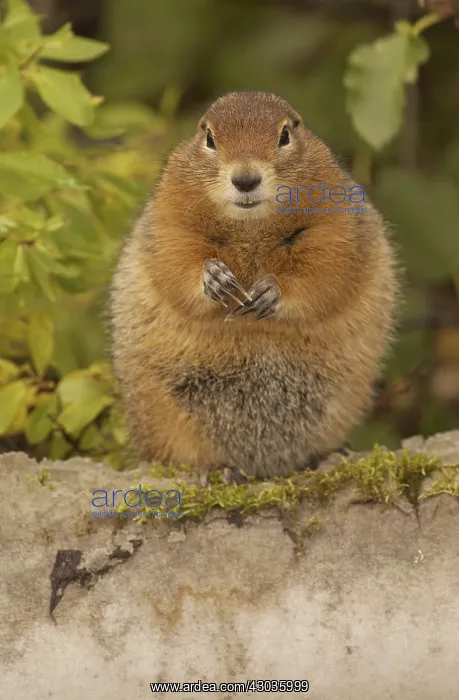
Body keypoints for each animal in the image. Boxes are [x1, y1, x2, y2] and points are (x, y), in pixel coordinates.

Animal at [109, 91, 398, 481]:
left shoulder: (336, 226)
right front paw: (215, 278)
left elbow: (324, 270)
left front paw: (270, 292)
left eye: (285, 135)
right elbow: (176, 262)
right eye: (209, 138)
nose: (245, 179)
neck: (250, 226)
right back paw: (220, 470)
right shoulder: (169, 220)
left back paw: (324, 457)